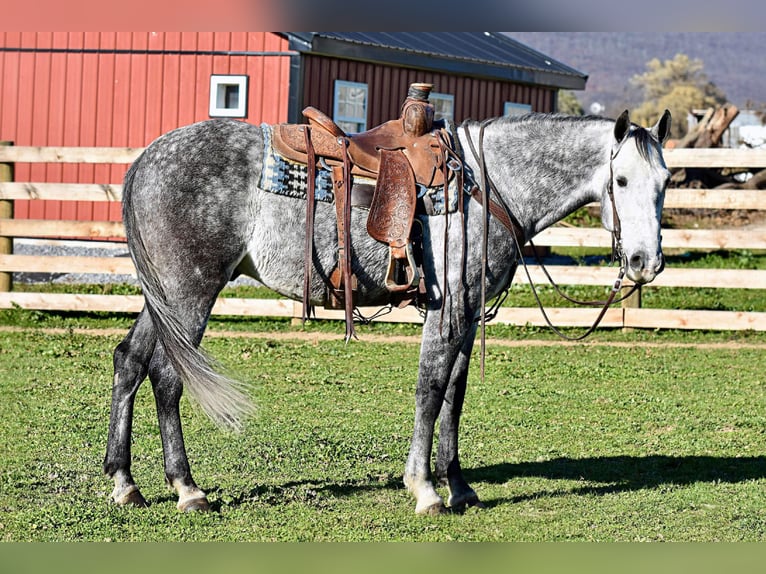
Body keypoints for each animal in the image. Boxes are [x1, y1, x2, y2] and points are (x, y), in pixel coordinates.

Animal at [103, 108, 672, 516]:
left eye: (666, 182)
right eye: (621, 181)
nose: (646, 262)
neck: (486, 188)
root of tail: (146, 161)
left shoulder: (466, 314)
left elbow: (455, 395)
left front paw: (459, 486)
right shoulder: (447, 312)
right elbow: (430, 390)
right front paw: (425, 490)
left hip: (162, 297)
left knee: (129, 360)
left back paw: (125, 482)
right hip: (188, 293)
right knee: (166, 376)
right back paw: (187, 489)